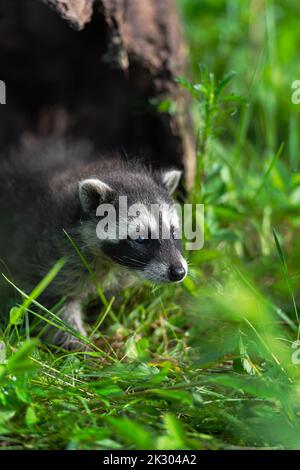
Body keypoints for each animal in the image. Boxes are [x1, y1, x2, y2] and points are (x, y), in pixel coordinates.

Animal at [0, 136, 188, 348]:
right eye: (140, 239)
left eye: (173, 232)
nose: (178, 272)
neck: (110, 262)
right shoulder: (49, 258)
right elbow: (54, 307)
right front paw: (78, 344)